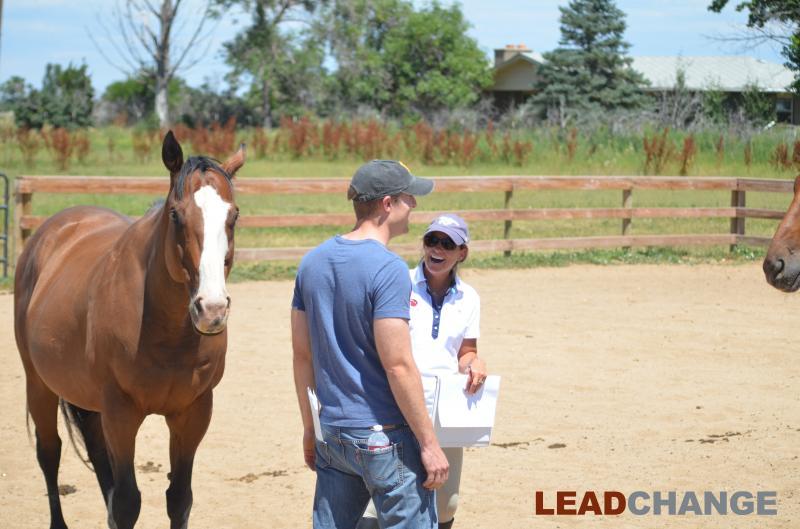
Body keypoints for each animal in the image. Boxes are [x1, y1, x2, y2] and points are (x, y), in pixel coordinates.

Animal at [14, 131, 244, 529]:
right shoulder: (121, 413)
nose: (211, 309)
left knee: (95, 454)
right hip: (39, 382)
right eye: (175, 214)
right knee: (50, 453)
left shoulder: (193, 413)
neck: (165, 332)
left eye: (234, 215)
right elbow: (126, 504)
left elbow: (179, 498)